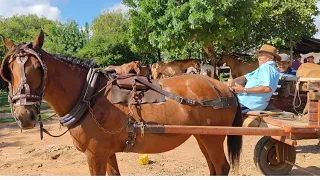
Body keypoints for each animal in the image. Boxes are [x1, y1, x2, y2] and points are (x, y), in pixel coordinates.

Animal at [0, 31, 242, 176]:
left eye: (38, 68)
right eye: (9, 70)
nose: (24, 116)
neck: (89, 96)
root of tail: (223, 88)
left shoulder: (95, 155)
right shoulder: (106, 153)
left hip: (212, 138)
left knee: (221, 167)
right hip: (202, 136)